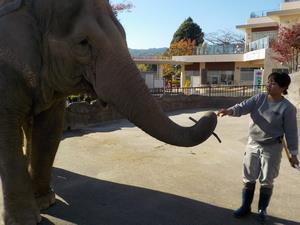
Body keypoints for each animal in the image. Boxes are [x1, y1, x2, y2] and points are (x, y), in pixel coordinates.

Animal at [0, 0, 217, 223]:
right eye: (83, 43)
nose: (208, 114)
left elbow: (49, 129)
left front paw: (46, 202)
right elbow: (6, 132)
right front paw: (26, 220)